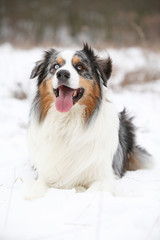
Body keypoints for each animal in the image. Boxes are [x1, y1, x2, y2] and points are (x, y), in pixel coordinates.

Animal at [25, 44, 151, 200]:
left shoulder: (105, 178)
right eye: (55, 66)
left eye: (80, 67)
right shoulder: (46, 172)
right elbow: (37, 187)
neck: (68, 120)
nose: (62, 74)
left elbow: (90, 194)